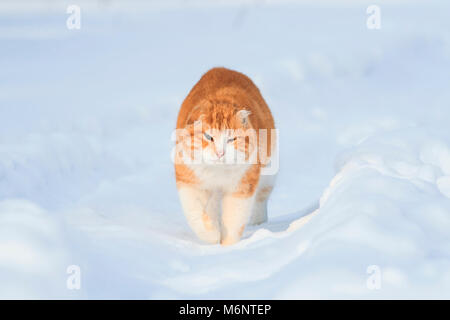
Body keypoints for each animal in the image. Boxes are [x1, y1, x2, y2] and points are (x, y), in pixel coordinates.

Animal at [174, 67, 276, 245]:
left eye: (231, 139)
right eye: (209, 137)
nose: (220, 153)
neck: (218, 172)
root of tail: (222, 68)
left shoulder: (242, 185)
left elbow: (234, 219)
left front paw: (228, 245)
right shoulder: (190, 181)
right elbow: (199, 215)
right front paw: (212, 236)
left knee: (261, 198)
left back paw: (258, 223)